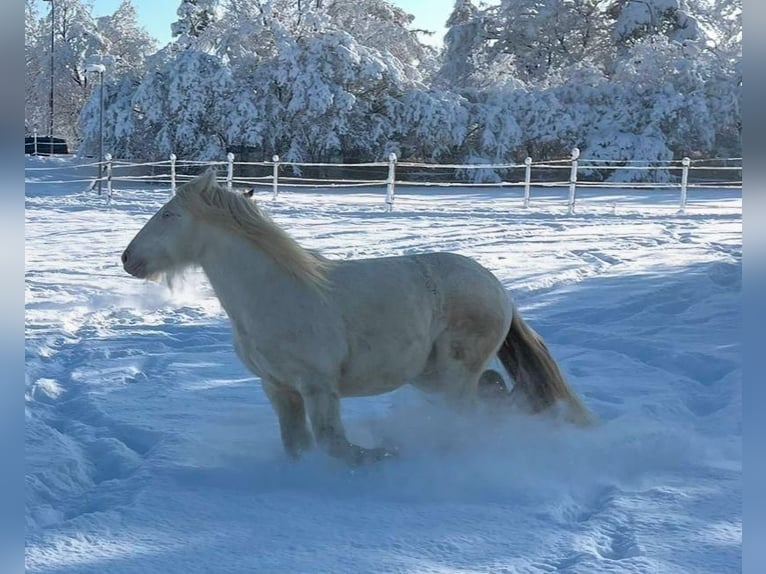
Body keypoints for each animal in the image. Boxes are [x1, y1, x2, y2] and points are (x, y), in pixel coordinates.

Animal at [122, 171, 593, 465]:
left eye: (169, 214)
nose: (128, 259)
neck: (271, 292)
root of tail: (499, 289)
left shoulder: (318, 387)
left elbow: (333, 444)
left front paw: (382, 455)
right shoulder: (278, 388)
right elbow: (297, 446)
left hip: (454, 375)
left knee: (475, 412)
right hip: (431, 376)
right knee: (497, 390)